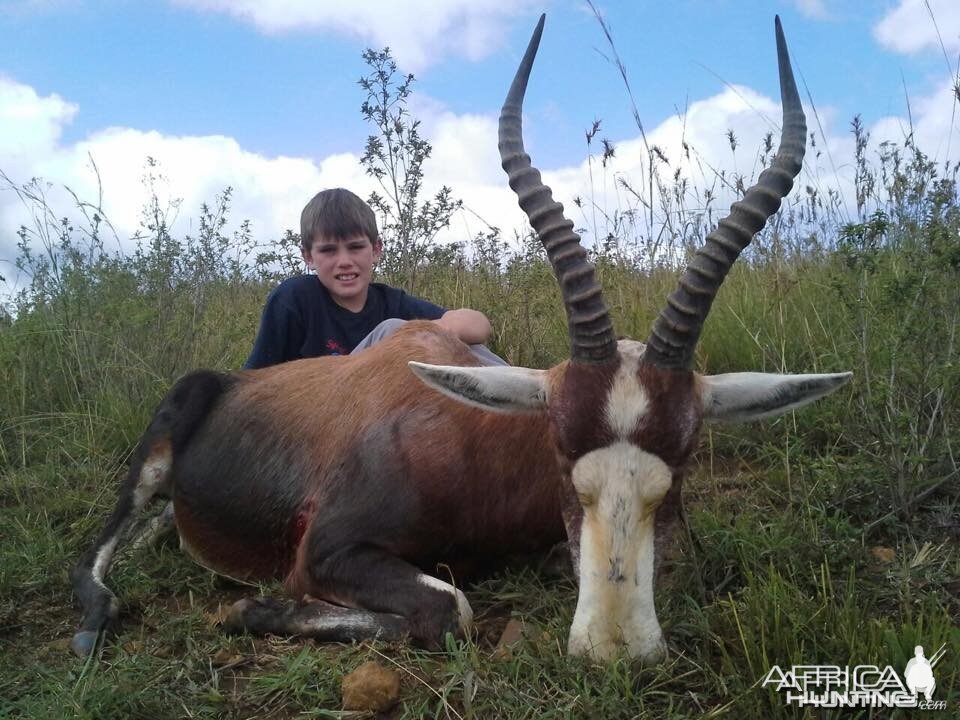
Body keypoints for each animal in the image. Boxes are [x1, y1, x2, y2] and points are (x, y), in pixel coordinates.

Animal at [71, 14, 852, 664]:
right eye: (560, 449)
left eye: (683, 460)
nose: (616, 651)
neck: (472, 439)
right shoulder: (326, 553)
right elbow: (452, 609)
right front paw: (249, 609)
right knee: (98, 550)